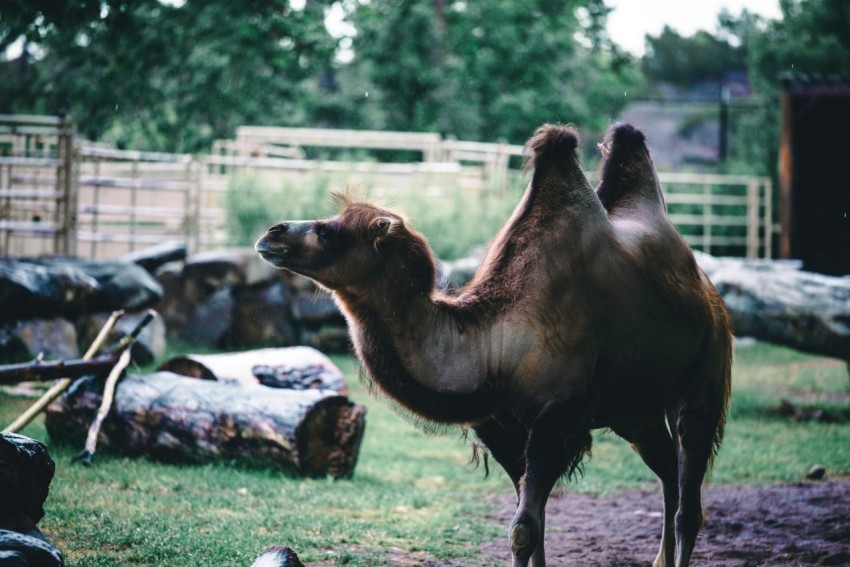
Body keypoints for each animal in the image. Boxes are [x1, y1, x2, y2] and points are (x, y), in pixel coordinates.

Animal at [253, 124, 728, 567]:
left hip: (706, 369)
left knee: (688, 494)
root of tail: (706, 287)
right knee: (667, 473)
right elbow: (534, 523)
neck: (494, 347)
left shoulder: (558, 419)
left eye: (330, 233)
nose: (271, 233)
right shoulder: (499, 425)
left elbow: (523, 528)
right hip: (635, 409)